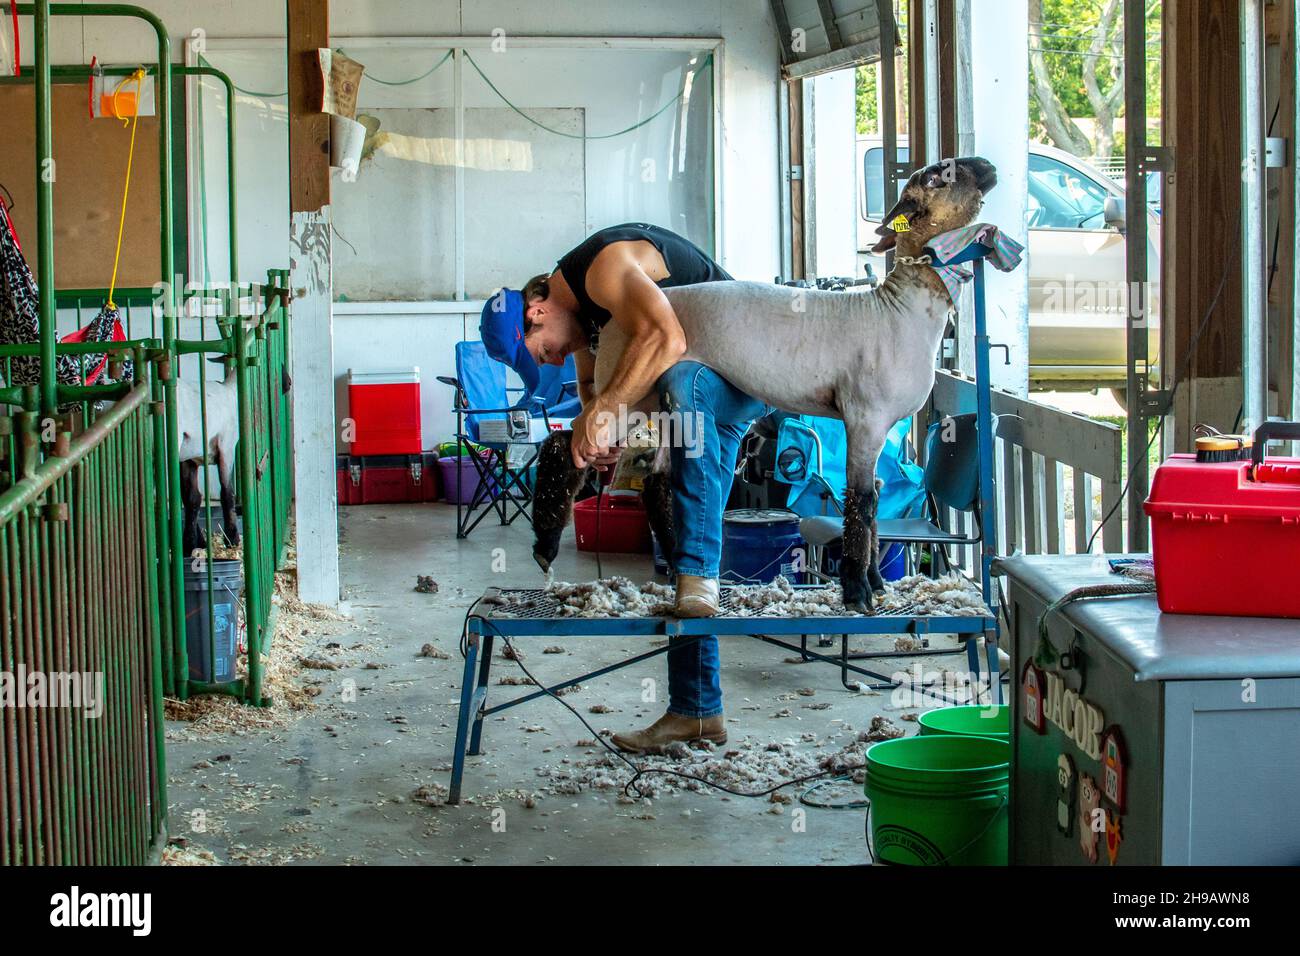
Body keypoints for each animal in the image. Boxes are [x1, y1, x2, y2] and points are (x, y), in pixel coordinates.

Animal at [533, 153, 998, 608]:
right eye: (937, 176)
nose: (989, 167)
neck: (899, 310)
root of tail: (608, 326)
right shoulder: (865, 417)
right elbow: (861, 501)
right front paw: (857, 590)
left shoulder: (881, 425)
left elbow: (875, 501)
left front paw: (875, 582)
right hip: (624, 391)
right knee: (566, 442)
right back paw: (545, 546)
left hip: (650, 399)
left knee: (655, 479)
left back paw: (674, 567)